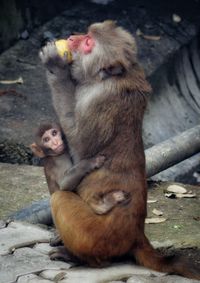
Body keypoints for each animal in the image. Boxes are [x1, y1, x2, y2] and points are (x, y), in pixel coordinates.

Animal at [39, 21, 200, 280]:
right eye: (85, 33)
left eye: (87, 42)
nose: (72, 37)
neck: (100, 78)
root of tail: (136, 236)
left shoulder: (96, 101)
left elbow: (77, 141)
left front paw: (56, 66)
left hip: (95, 236)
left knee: (60, 198)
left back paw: (81, 258)